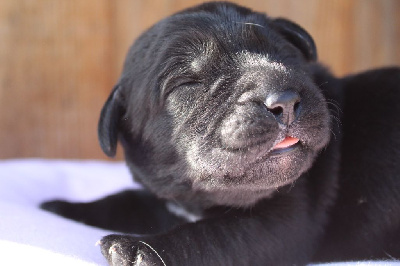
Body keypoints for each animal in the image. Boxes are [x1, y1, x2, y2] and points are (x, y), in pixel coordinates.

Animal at [40, 2, 400, 266]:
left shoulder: (281, 225)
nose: (283, 101)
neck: (197, 199)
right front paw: (61, 208)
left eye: (285, 56)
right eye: (187, 83)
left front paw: (138, 248)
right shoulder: (161, 198)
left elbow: (208, 237)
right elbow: (125, 201)